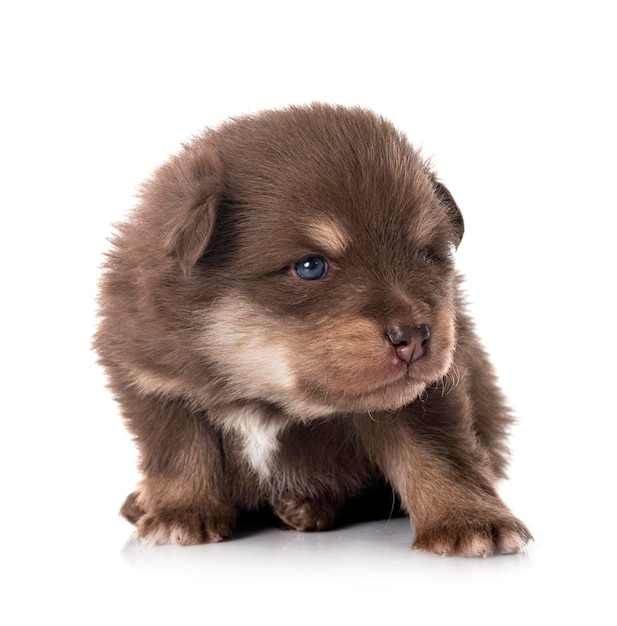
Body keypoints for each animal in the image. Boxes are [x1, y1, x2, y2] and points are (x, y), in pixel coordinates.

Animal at [95, 103, 528, 556]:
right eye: (310, 266)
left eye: (426, 254)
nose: (414, 337)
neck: (264, 394)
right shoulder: (153, 380)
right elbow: (179, 451)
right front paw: (179, 514)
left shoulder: (426, 394)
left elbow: (439, 453)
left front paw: (469, 521)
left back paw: (305, 505)